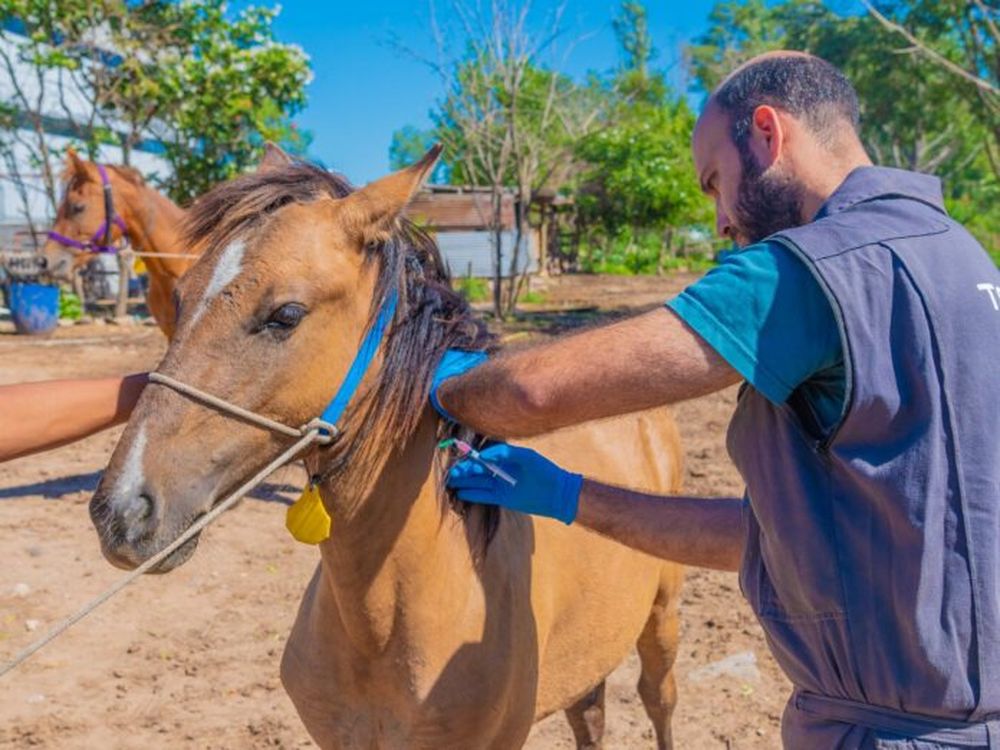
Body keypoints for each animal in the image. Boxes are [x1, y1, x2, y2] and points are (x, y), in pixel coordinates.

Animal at [88, 145, 687, 749]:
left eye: (285, 314)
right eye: (179, 298)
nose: (121, 512)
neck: (385, 628)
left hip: (661, 619)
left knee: (658, 701)